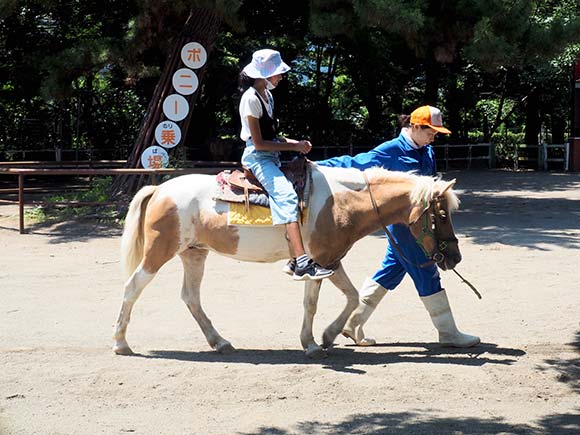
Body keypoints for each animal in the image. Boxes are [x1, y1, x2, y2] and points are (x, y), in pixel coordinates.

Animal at [114, 165, 462, 360]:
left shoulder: (331, 259)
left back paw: (221, 342)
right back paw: (121, 344)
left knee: (191, 297)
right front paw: (311, 343)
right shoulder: (317, 262)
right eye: (442, 215)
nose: (454, 256)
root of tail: (159, 188)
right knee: (131, 287)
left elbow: (352, 297)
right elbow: (311, 304)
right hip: (159, 252)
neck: (342, 203)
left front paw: (328, 336)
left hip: (194, 253)